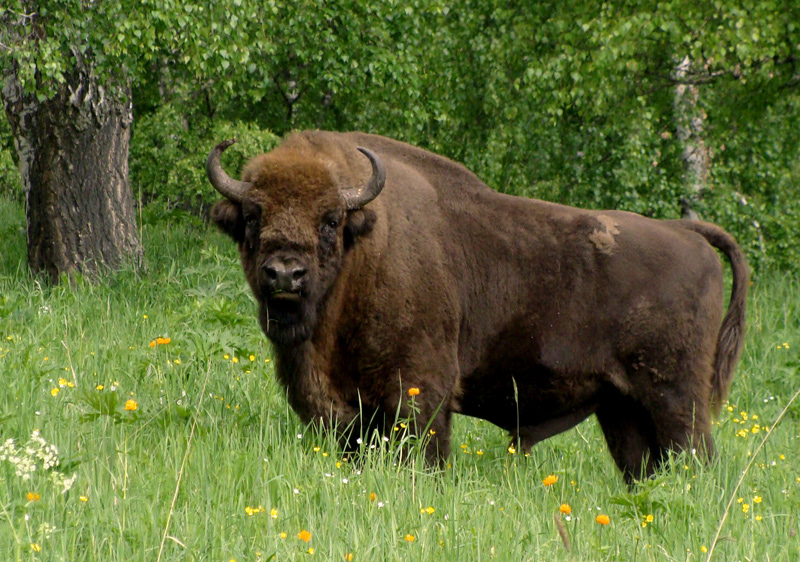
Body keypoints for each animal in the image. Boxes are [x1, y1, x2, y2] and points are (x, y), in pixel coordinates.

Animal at [205, 131, 744, 482]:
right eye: (252, 216)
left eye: (331, 219)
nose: (285, 274)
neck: (368, 245)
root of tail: (686, 233)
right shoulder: (349, 413)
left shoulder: (420, 391)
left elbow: (426, 453)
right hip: (621, 408)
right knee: (645, 465)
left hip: (676, 398)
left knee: (696, 454)